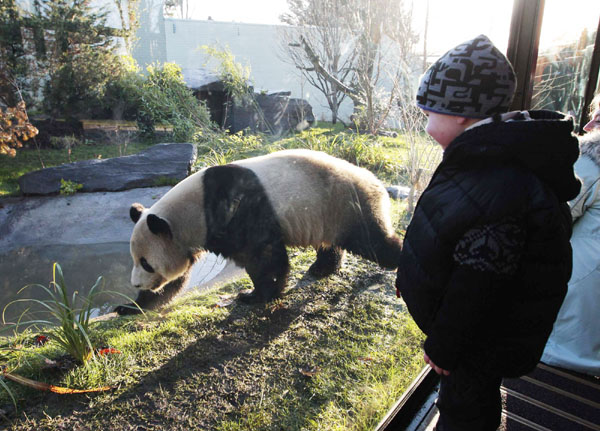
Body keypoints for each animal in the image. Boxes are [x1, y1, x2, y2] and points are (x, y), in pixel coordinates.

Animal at [113, 150, 404, 316]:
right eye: (135, 260)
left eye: (146, 263)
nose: (136, 284)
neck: (192, 210)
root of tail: (374, 180)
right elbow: (177, 280)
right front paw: (132, 306)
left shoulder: (234, 212)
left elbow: (262, 256)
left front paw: (258, 294)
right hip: (328, 213)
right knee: (331, 243)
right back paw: (322, 268)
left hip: (344, 203)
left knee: (373, 241)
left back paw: (400, 260)